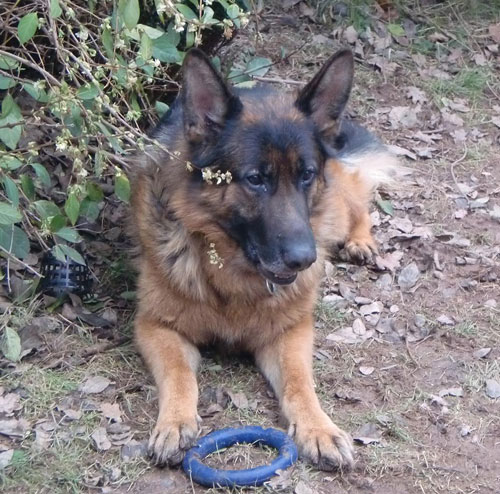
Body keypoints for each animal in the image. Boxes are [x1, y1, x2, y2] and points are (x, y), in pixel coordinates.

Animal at [131, 48, 396, 468]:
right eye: (255, 179)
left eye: (306, 174)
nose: (304, 259)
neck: (232, 279)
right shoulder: (156, 326)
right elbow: (178, 373)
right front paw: (174, 422)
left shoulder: (292, 331)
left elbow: (299, 382)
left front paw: (318, 427)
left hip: (335, 208)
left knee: (357, 200)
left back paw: (360, 240)